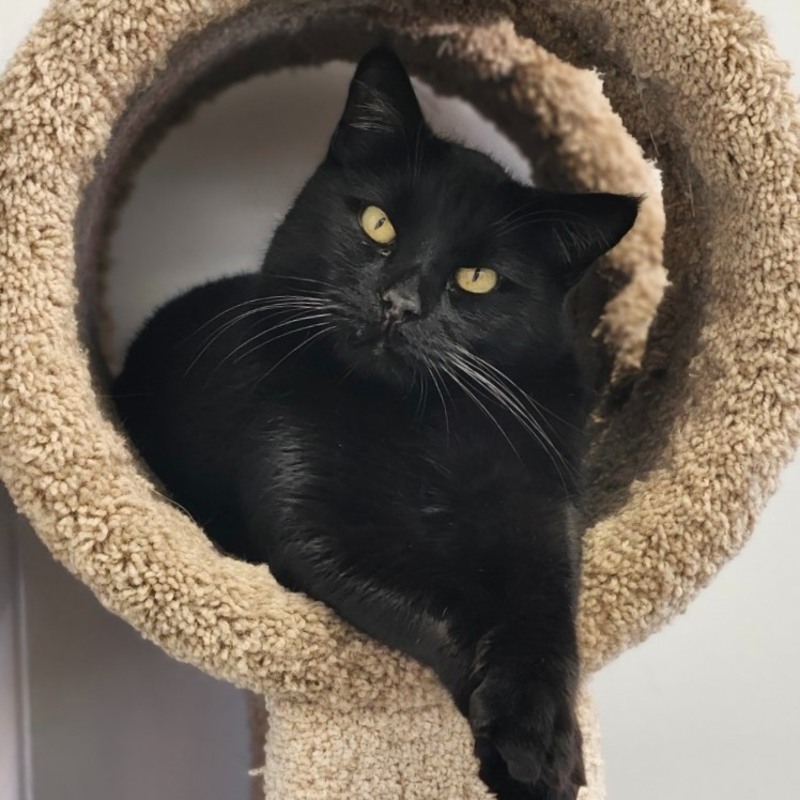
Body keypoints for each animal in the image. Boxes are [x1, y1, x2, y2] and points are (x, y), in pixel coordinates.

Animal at [114, 48, 636, 800]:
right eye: (378, 224)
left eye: (477, 278)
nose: (399, 303)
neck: (416, 421)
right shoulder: (309, 522)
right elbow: (437, 605)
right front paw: (514, 754)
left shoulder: (541, 505)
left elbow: (544, 613)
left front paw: (544, 745)